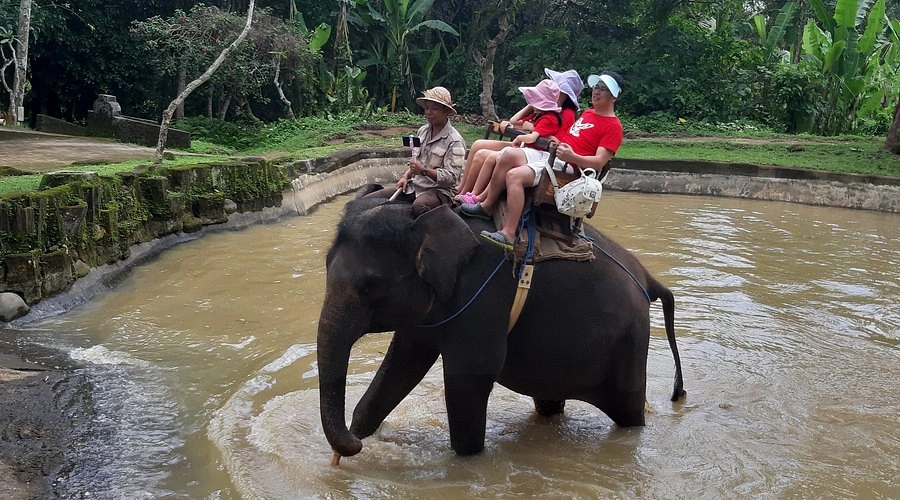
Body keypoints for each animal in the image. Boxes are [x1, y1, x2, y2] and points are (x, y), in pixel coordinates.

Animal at [317, 189, 686, 461]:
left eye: (369, 287)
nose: (351, 447)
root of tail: (647, 277)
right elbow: (402, 364)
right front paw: (357, 437)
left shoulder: (483, 296)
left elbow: (469, 378)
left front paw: (467, 462)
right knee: (550, 402)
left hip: (631, 340)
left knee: (628, 410)